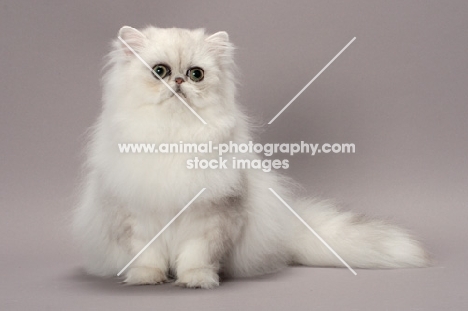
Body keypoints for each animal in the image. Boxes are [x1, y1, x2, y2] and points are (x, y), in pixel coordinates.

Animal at [74, 26, 432, 290]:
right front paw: (147, 279)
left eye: (195, 74)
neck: (174, 136)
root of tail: (286, 229)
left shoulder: (213, 217)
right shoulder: (134, 216)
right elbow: (146, 256)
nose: (178, 81)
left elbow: (197, 256)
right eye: (159, 71)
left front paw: (196, 281)